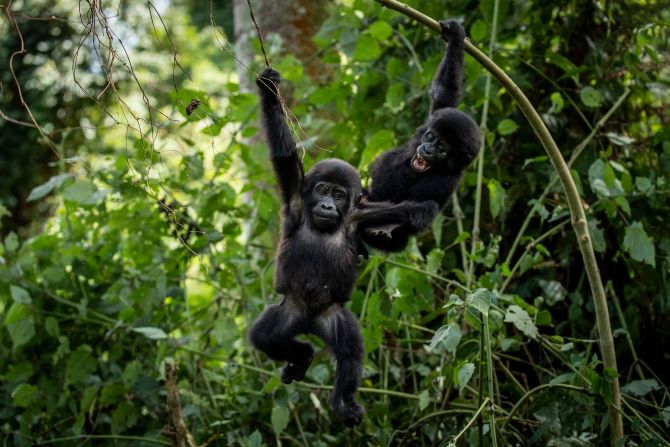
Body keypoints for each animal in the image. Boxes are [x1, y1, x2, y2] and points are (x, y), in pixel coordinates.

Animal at [247, 66, 426, 428]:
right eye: (322, 190)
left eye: (339, 195)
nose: (328, 205)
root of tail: (309, 323)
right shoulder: (296, 198)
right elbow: (284, 158)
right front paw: (269, 91)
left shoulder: (360, 216)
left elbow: (394, 214)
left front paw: (421, 210)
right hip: (289, 310)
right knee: (266, 336)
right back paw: (301, 356)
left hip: (333, 316)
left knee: (349, 351)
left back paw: (342, 400)